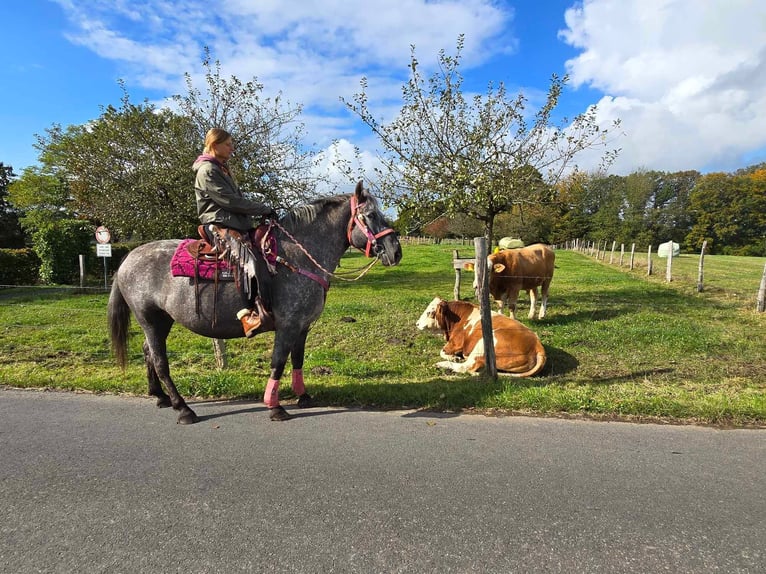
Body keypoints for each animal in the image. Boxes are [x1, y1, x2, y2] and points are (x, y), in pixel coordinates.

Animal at [112, 182, 408, 426]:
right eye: (371, 215)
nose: (396, 252)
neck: (297, 258)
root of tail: (128, 257)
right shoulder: (287, 325)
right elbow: (278, 361)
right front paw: (275, 406)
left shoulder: (302, 327)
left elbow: (297, 359)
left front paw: (303, 397)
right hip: (149, 319)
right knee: (160, 360)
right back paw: (183, 409)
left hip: (162, 320)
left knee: (148, 352)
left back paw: (160, 397)